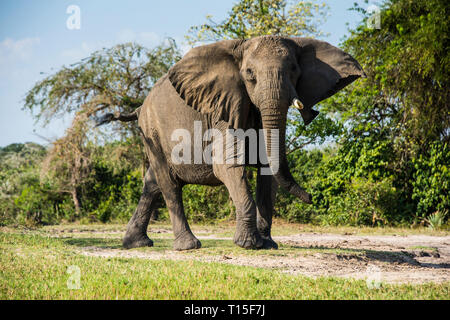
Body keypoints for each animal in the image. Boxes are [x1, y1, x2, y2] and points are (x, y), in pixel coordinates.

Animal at [99, 35, 366, 250]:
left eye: (293, 69)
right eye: (249, 74)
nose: (312, 197)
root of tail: (139, 108)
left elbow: (266, 170)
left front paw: (268, 245)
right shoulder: (222, 109)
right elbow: (227, 167)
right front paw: (249, 244)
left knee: (152, 183)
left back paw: (136, 244)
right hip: (152, 130)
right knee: (169, 184)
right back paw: (188, 246)